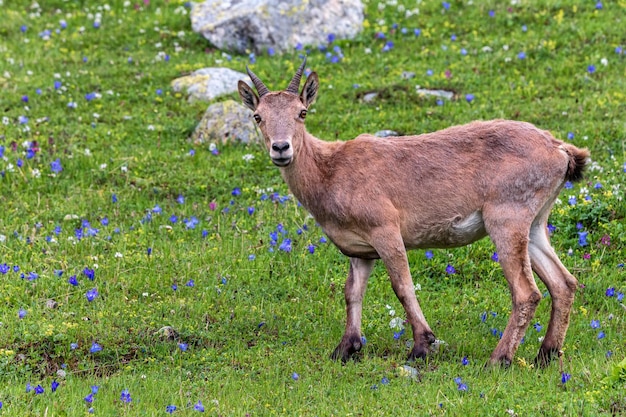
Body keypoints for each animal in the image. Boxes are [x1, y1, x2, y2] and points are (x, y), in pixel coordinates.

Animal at [236, 59, 588, 368]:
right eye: (257, 116)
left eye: (302, 112)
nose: (281, 148)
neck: (330, 171)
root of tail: (560, 150)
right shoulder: (360, 250)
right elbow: (352, 292)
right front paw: (346, 348)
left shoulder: (385, 229)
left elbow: (402, 286)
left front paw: (421, 345)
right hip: (535, 224)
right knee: (564, 283)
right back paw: (546, 354)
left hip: (506, 219)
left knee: (527, 293)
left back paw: (498, 359)